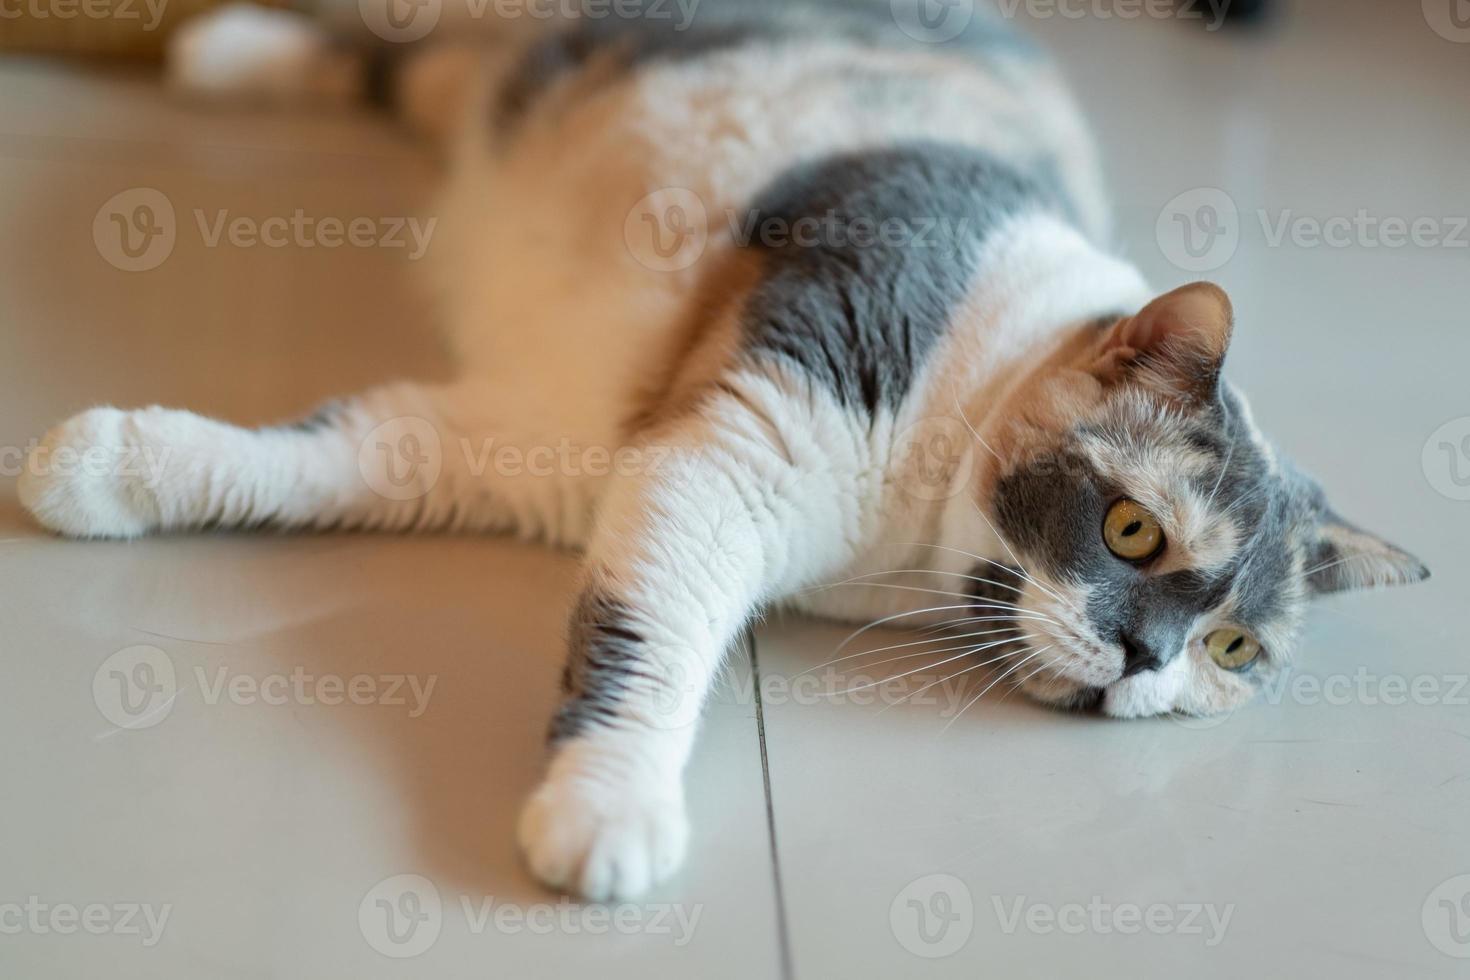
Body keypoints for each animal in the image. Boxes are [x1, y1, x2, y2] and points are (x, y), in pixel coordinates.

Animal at [20, 0, 1422, 905]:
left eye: (1233, 651)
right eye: (1134, 530)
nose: (1147, 661)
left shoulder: (542, 438)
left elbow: (322, 455)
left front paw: (96, 469)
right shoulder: (735, 455)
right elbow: (650, 646)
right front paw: (608, 811)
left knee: (423, 74)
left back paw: (222, 54)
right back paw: (216, 46)